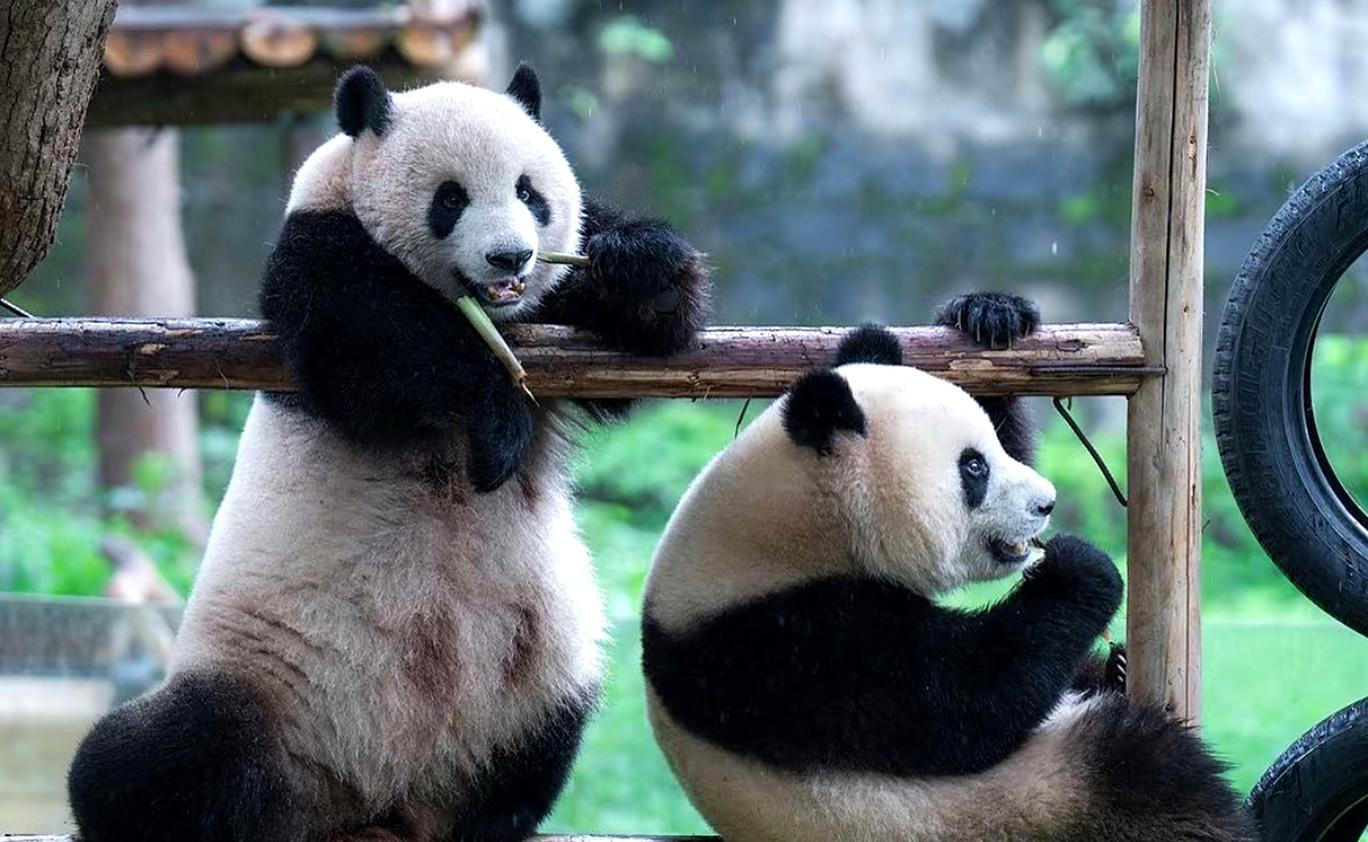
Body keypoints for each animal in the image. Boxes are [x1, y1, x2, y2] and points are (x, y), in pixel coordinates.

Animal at [67, 64, 708, 842]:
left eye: (529, 192)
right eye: (450, 199)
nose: (510, 257)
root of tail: (370, 802)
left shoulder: (554, 312)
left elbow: (637, 347)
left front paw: (643, 269)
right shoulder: (316, 251)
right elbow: (374, 343)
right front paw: (496, 421)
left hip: (539, 675)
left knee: (547, 733)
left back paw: (495, 817)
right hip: (251, 681)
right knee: (150, 758)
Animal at [641, 318, 1256, 842]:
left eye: (996, 448)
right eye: (974, 467)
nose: (1047, 503)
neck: (789, 525)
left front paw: (989, 317)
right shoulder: (779, 647)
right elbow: (965, 706)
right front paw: (1079, 569)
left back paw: (1118, 669)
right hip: (1023, 801)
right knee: (1151, 781)